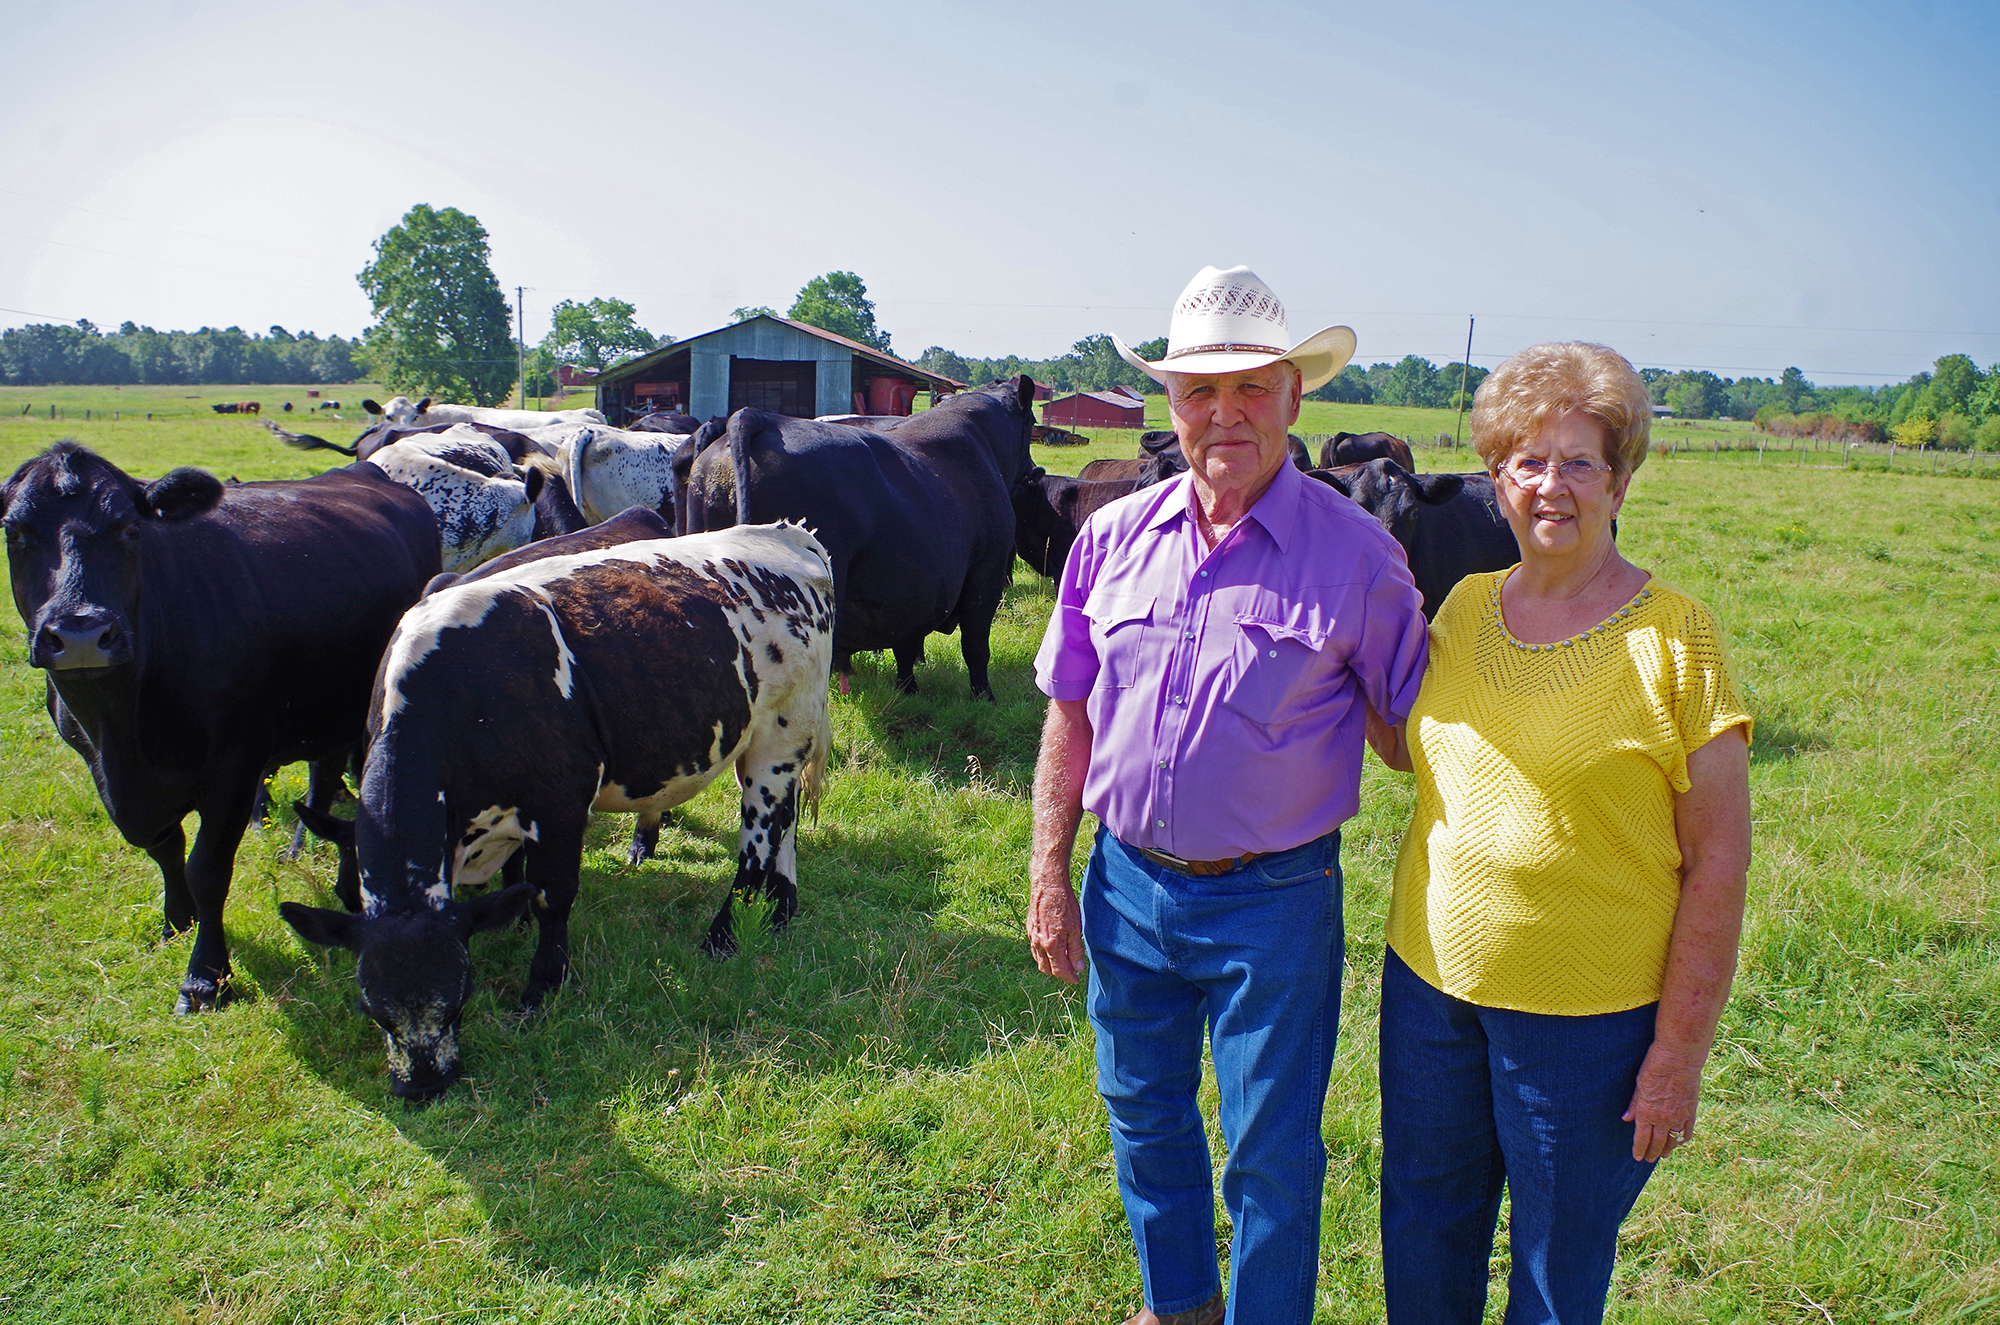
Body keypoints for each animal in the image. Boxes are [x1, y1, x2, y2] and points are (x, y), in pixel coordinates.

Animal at [0, 446, 440, 1016]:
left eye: (129, 529)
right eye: (14, 531)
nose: (81, 634)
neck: (123, 732)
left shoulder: (234, 770)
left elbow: (206, 870)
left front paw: (205, 977)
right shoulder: (98, 765)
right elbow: (164, 848)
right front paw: (176, 922)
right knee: (323, 775)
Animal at [282, 512, 836, 1104]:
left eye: (461, 994)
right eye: (371, 1008)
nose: (424, 1084)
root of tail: (787, 533)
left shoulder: (560, 803)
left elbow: (553, 895)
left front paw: (543, 985)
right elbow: (519, 881)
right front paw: (516, 922)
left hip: (781, 733)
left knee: (760, 835)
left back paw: (724, 934)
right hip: (768, 741)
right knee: (786, 824)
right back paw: (781, 909)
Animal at [684, 378, 1040, 700]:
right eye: (1033, 422)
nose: (1035, 470)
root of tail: (761, 417)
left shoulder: (913, 594)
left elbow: (906, 646)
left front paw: (907, 690)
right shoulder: (987, 574)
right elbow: (975, 645)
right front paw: (985, 698)